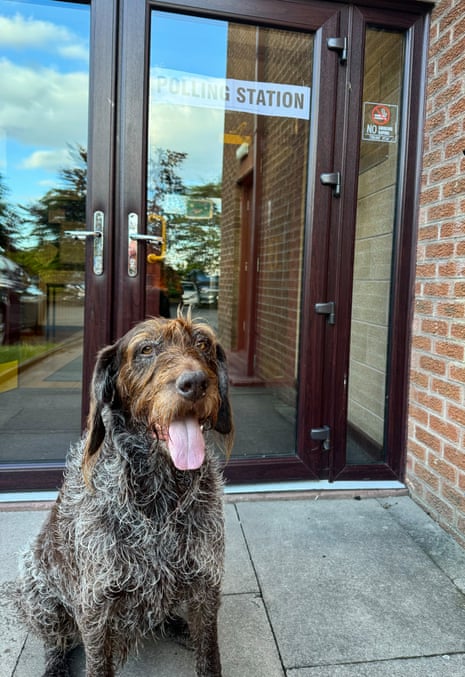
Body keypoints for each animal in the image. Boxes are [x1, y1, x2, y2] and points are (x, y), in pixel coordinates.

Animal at [16, 316, 234, 676]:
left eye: (202, 343)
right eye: (145, 349)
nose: (195, 383)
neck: (160, 500)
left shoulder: (206, 584)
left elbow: (209, 653)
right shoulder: (96, 605)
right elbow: (97, 663)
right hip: (37, 589)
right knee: (55, 640)